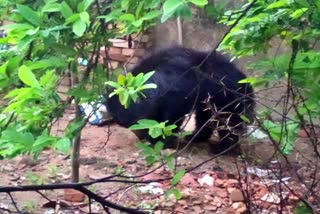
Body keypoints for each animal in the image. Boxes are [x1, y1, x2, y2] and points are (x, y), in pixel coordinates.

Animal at [106, 47, 254, 152]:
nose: (139, 136)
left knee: (228, 123)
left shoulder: (177, 94)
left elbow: (171, 117)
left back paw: (222, 148)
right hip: (209, 101)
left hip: (229, 100)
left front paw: (161, 141)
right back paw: (195, 137)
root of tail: (247, 85)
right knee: (204, 117)